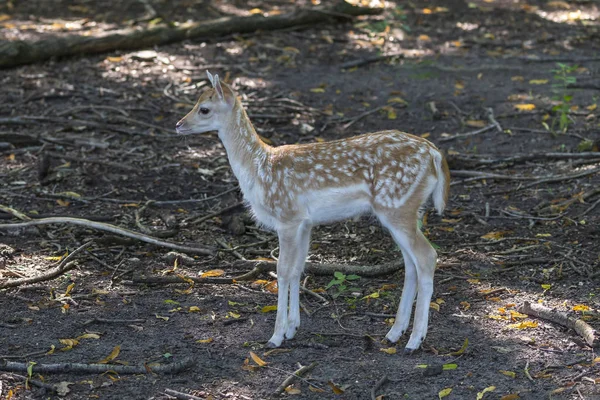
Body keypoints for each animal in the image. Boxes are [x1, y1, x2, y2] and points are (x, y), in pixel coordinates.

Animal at [177, 72, 450, 354]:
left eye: (204, 109)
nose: (178, 124)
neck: (258, 169)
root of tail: (435, 155)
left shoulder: (287, 216)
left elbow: (283, 270)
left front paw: (276, 336)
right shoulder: (305, 222)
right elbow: (298, 268)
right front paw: (292, 328)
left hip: (397, 205)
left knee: (427, 257)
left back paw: (414, 340)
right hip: (404, 210)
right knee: (410, 263)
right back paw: (394, 333)